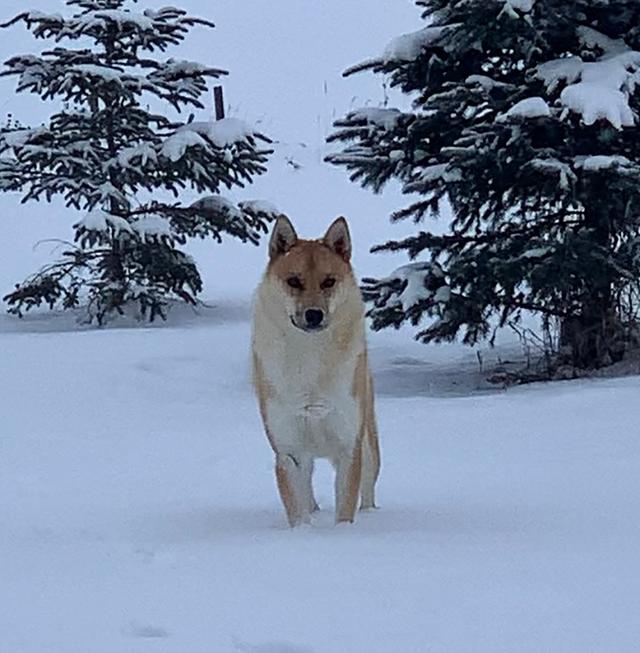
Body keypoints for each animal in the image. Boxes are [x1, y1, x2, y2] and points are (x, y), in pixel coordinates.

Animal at [250, 216, 380, 528]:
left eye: (328, 281)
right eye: (294, 281)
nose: (313, 315)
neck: (311, 358)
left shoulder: (348, 447)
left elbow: (346, 506)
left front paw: (343, 533)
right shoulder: (289, 450)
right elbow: (296, 508)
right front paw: (304, 534)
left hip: (369, 439)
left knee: (369, 484)